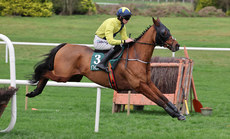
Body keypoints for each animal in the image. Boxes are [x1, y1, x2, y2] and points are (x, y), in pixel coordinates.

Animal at [27, 17, 186, 120]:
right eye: (164, 32)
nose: (176, 45)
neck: (136, 57)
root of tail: (66, 45)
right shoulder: (139, 86)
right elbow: (158, 100)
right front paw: (175, 114)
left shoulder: (148, 83)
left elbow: (163, 97)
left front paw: (177, 112)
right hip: (63, 75)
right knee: (44, 72)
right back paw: (34, 91)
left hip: (73, 77)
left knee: (47, 74)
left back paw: (34, 92)